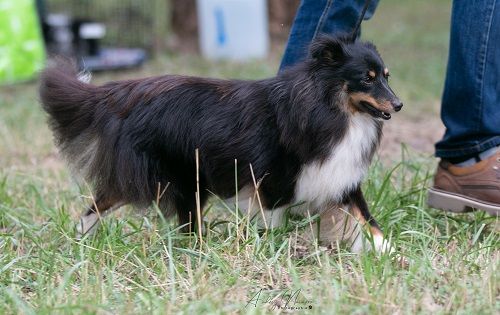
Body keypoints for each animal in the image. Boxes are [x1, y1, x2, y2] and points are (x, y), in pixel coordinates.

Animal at [40, 34, 402, 252]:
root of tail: (120, 92)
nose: (398, 105)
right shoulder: (273, 183)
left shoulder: (339, 176)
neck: (331, 109)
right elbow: (274, 221)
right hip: (170, 177)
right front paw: (271, 248)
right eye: (366, 79)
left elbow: (367, 219)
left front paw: (388, 252)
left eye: (386, 76)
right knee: (111, 201)